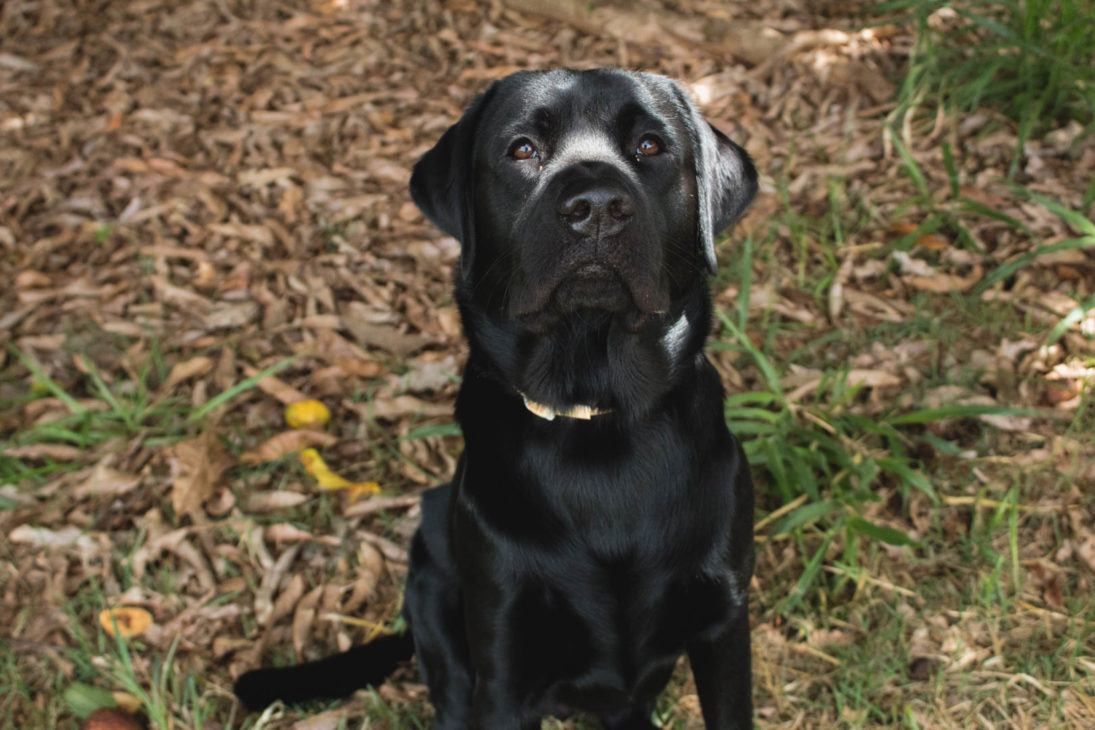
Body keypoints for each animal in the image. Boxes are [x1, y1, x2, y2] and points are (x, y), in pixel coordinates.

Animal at [235, 65, 757, 726]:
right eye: (522, 150)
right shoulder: (506, 662)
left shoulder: (724, 626)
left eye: (650, 145)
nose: (596, 208)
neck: (597, 422)